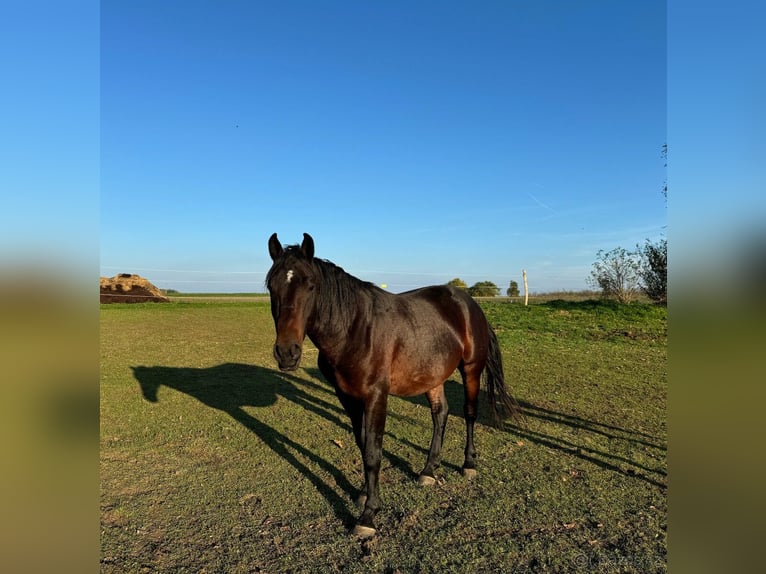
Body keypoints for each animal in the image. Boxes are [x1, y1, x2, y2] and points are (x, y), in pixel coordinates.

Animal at [266, 232, 520, 536]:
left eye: (311, 285)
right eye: (271, 286)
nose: (287, 353)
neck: (353, 328)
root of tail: (469, 303)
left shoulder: (377, 395)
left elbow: (374, 452)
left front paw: (368, 516)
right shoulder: (347, 396)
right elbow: (363, 445)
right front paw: (364, 493)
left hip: (470, 369)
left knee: (469, 413)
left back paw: (469, 464)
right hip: (432, 375)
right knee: (440, 414)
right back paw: (428, 470)